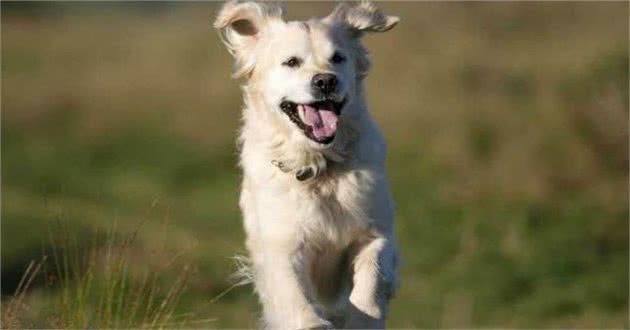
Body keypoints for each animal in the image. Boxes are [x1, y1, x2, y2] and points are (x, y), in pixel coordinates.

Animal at [214, 1, 400, 328]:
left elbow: (372, 278)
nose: (325, 81)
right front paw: (313, 322)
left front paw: (363, 317)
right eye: (291, 62)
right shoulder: (282, 245)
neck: (319, 166)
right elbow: (293, 294)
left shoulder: (377, 233)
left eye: (338, 58)